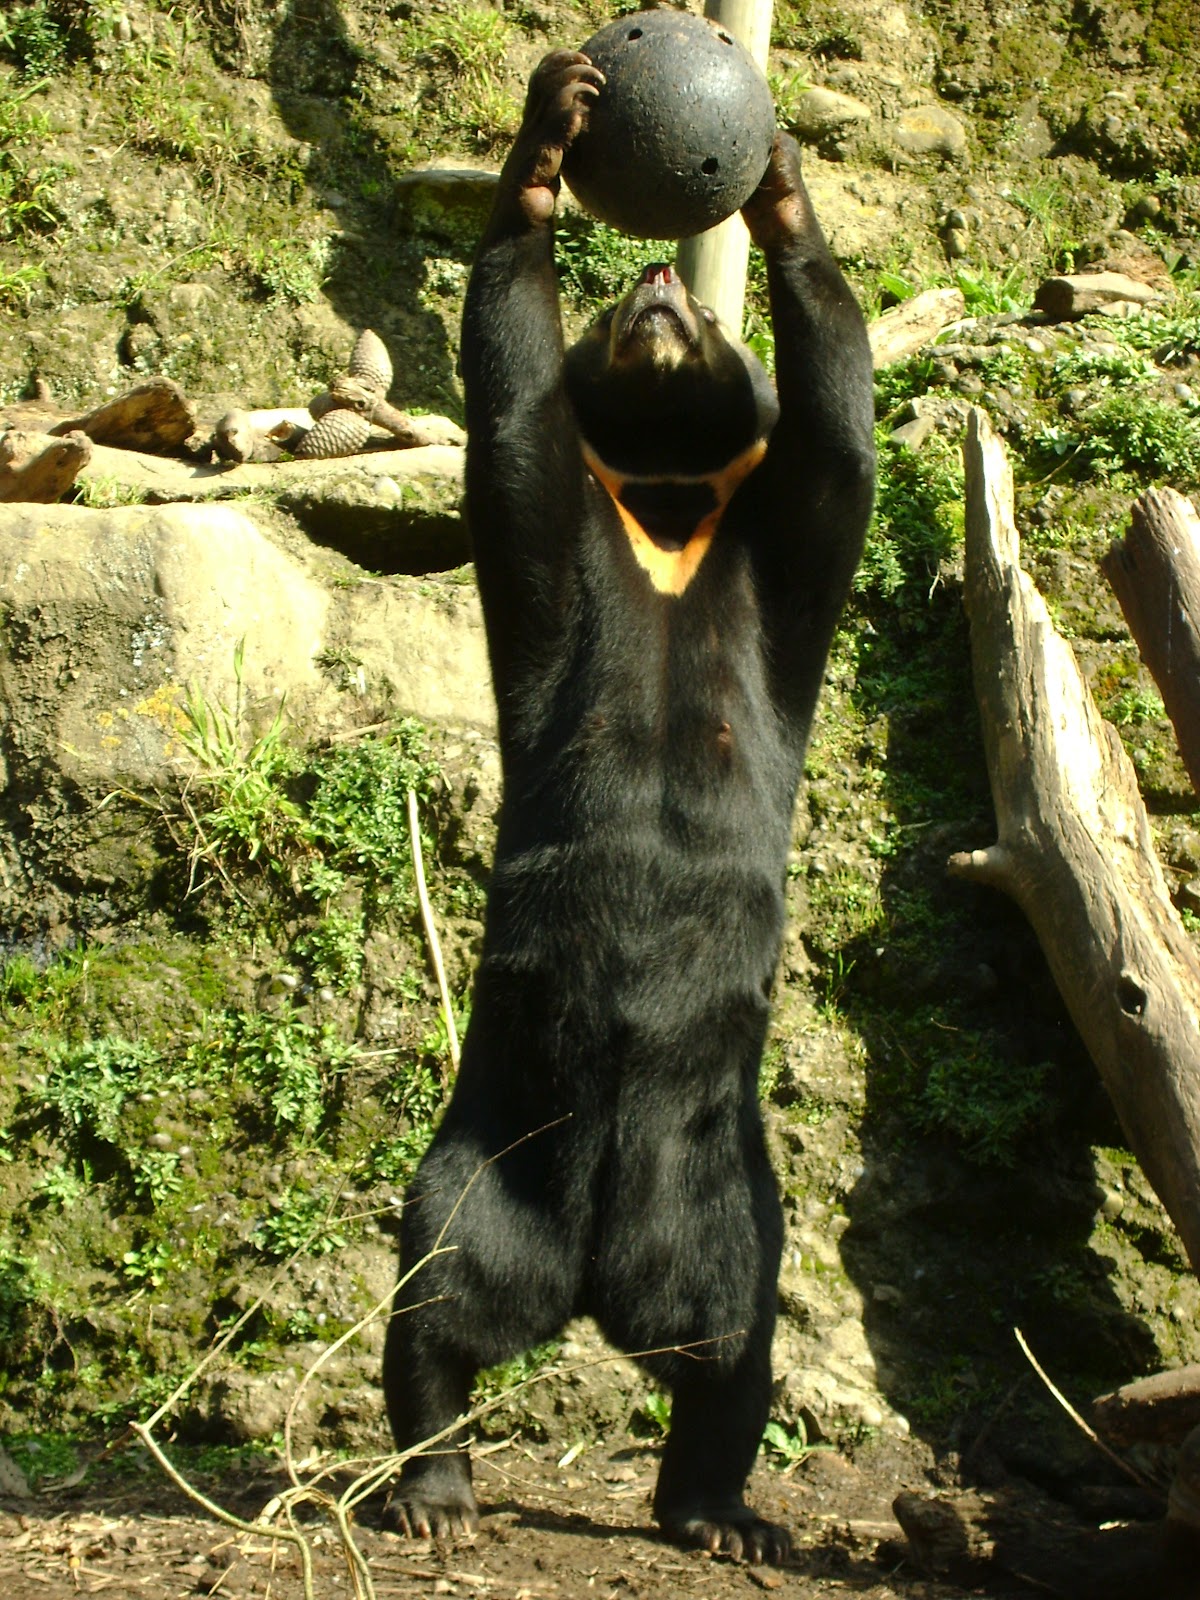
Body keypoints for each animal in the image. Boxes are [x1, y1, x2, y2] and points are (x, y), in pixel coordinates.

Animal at [380, 49, 876, 1564]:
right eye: (619, 308)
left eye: (704, 324)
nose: (660, 280)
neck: (662, 493)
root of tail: (598, 1273)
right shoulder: (555, 514)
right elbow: (509, 394)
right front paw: (553, 128)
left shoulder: (780, 543)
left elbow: (839, 432)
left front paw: (779, 180)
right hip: (487, 1155)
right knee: (433, 1300)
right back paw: (435, 1493)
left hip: (730, 1201)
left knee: (737, 1345)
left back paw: (717, 1513)